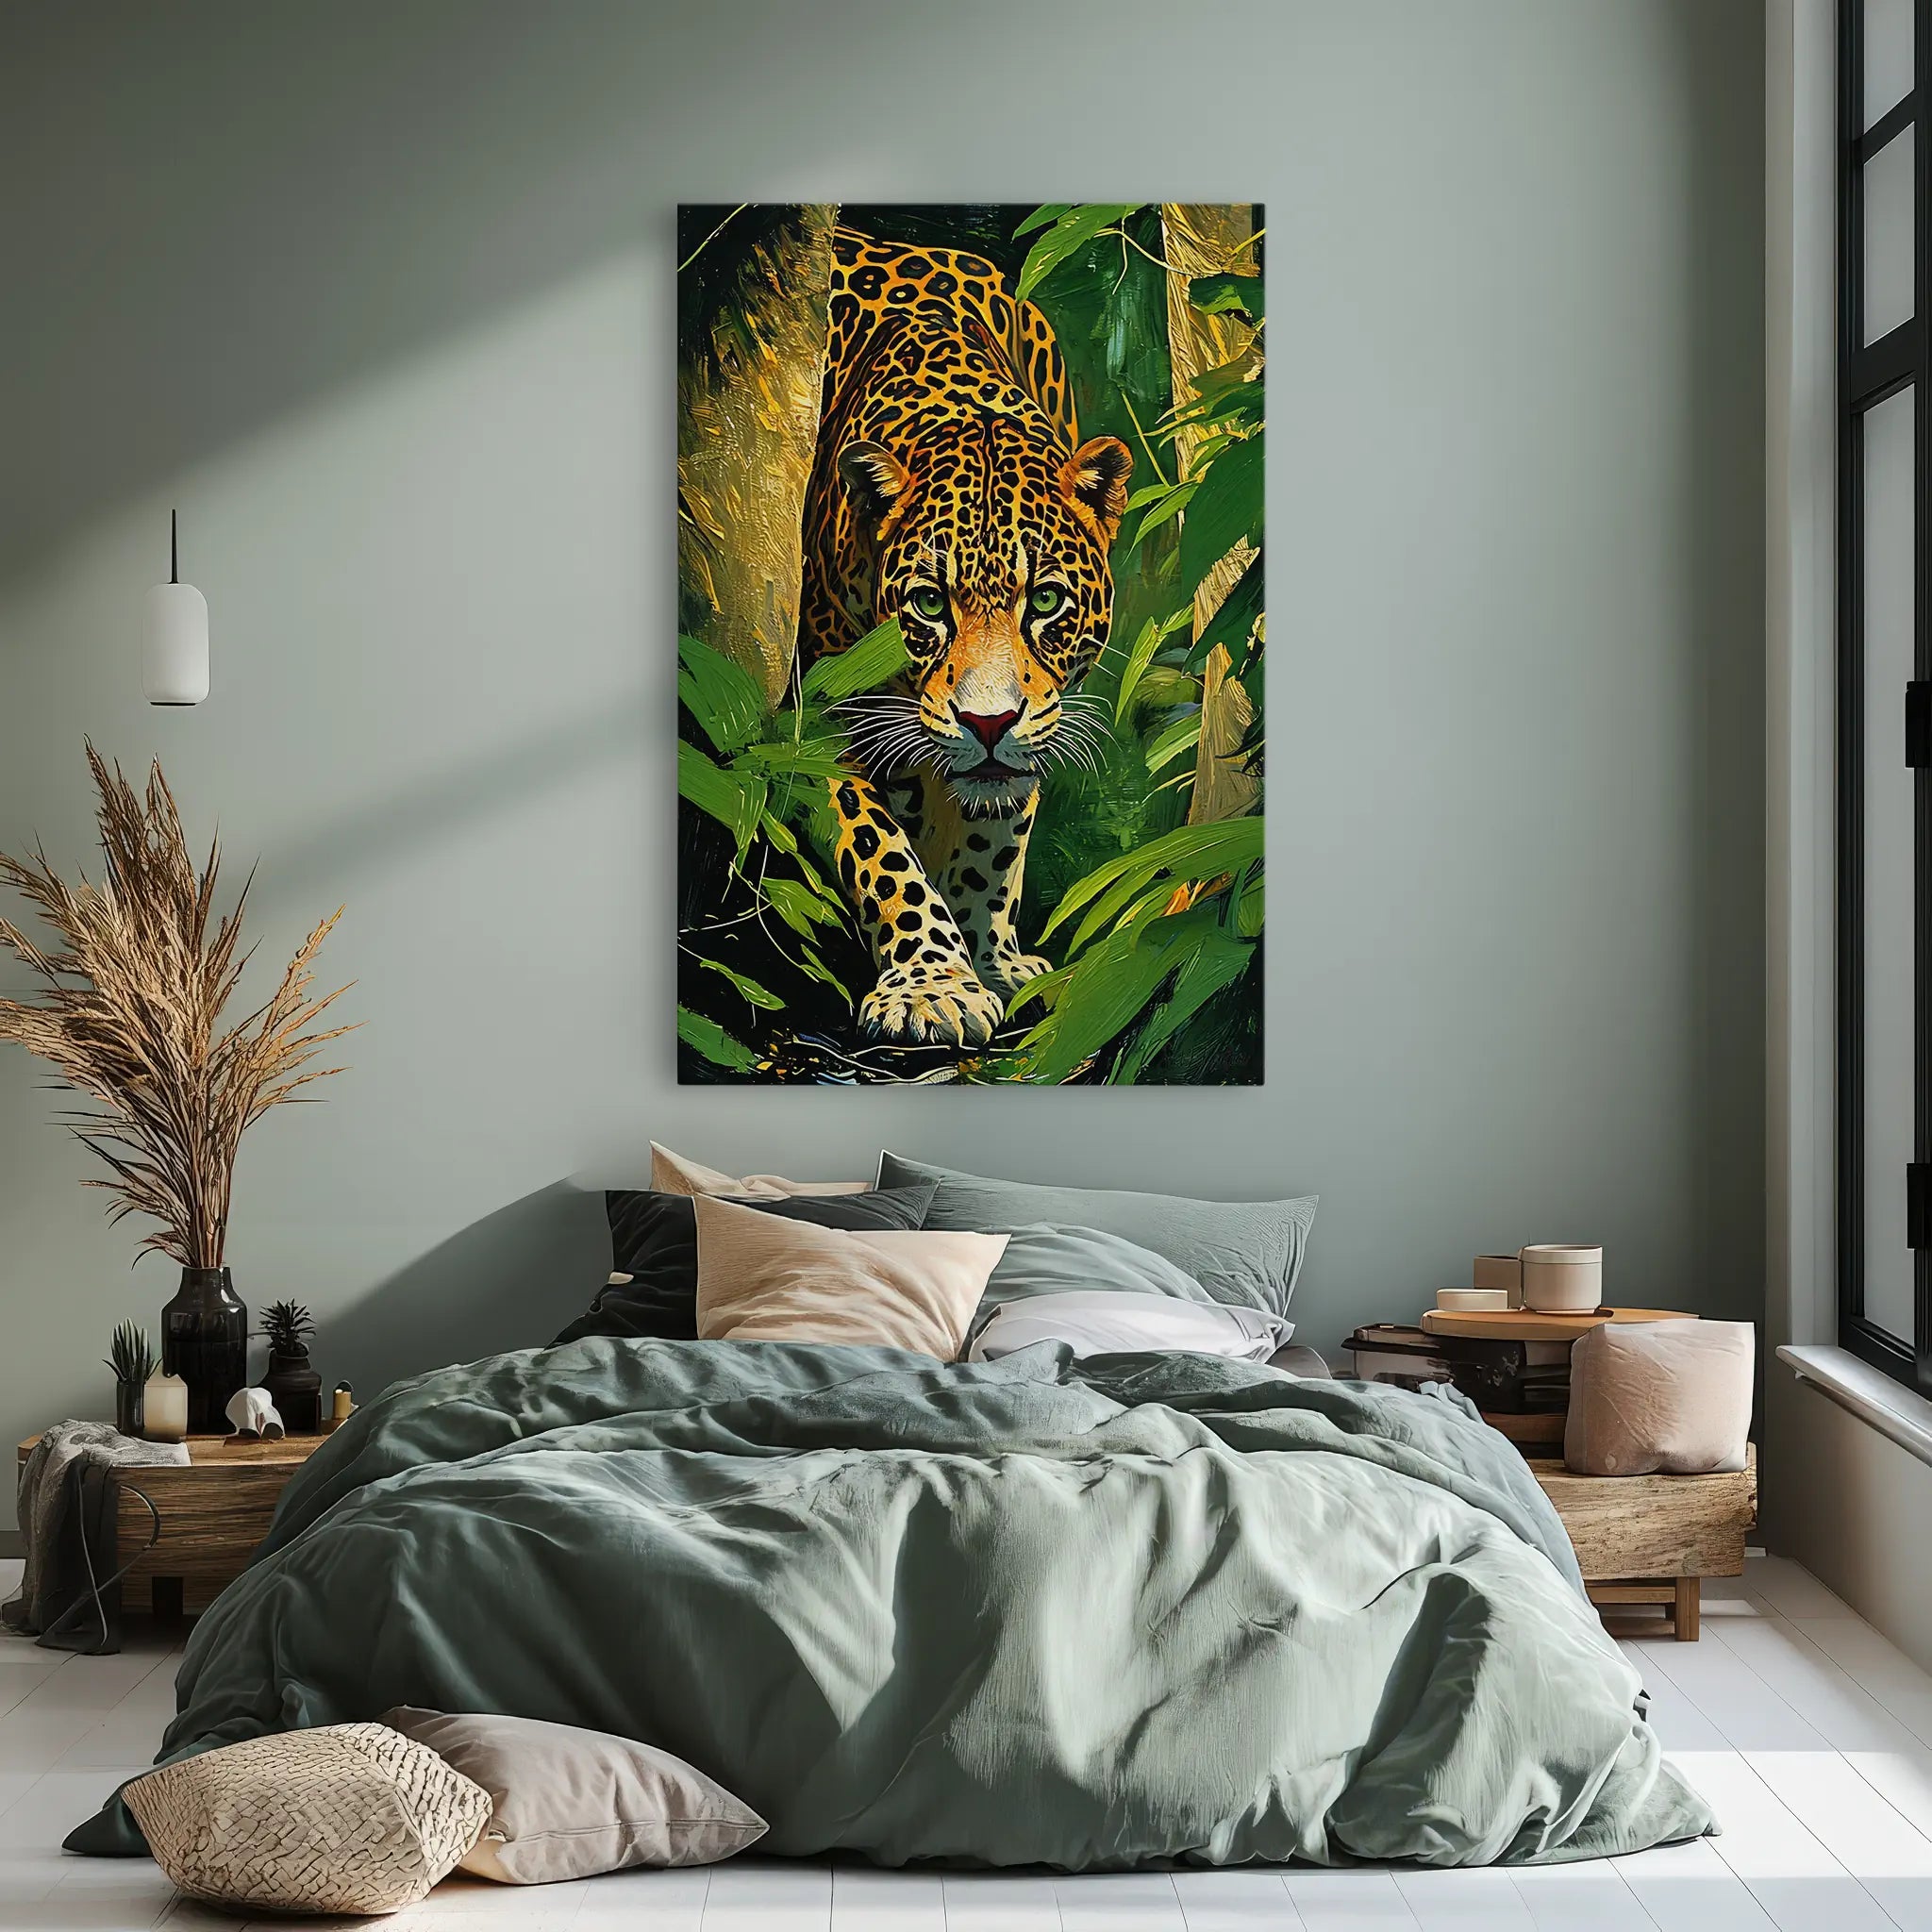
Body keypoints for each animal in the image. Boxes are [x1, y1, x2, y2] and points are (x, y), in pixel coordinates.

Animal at [799, 226, 1133, 1049]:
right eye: (927, 603)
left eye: (1044, 600)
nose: (988, 723)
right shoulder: (822, 717)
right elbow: (881, 851)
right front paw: (933, 984)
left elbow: (995, 840)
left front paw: (990, 958)